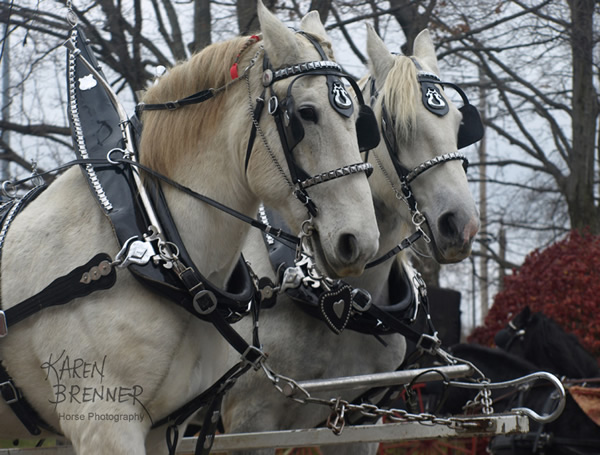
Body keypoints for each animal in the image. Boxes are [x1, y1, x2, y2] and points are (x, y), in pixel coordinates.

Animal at [0, 2, 378, 452]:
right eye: (305, 113)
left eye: (360, 121)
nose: (359, 240)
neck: (150, 237)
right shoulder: (101, 421)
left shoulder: (167, 426)